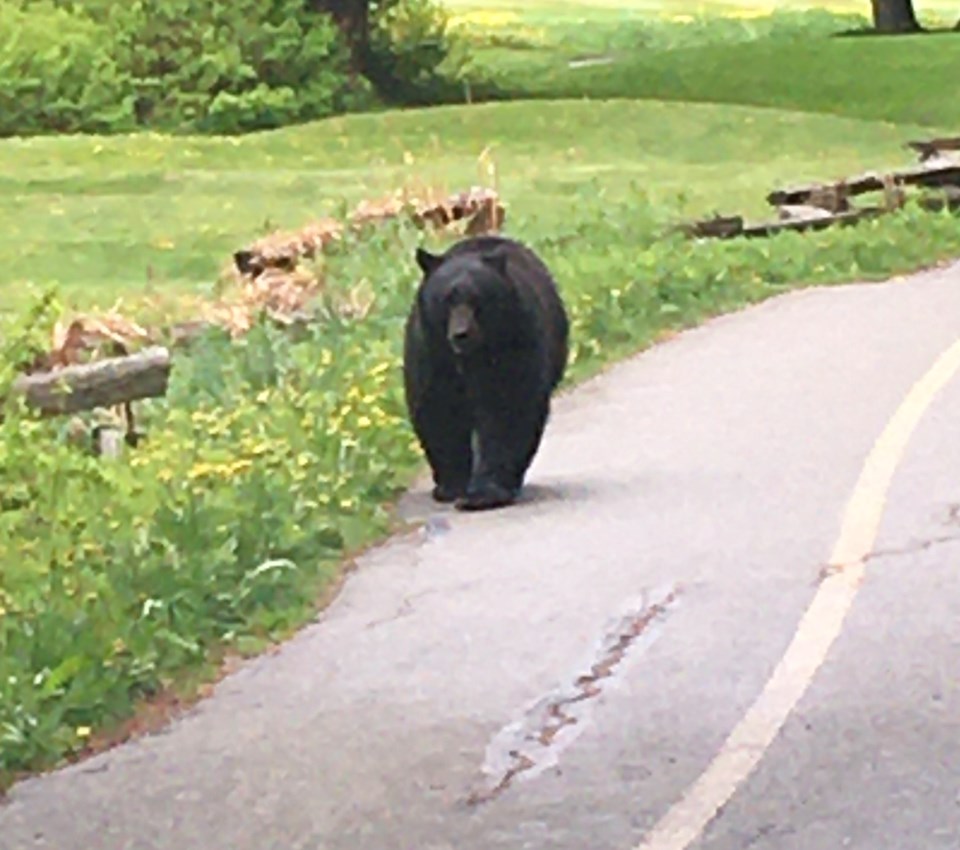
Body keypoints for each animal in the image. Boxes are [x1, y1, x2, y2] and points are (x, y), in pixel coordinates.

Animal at [400, 234, 568, 510]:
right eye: (447, 299)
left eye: (477, 298)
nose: (461, 334)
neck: (469, 358)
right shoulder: (431, 352)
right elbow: (439, 410)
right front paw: (452, 485)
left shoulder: (516, 341)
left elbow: (508, 408)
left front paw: (484, 493)